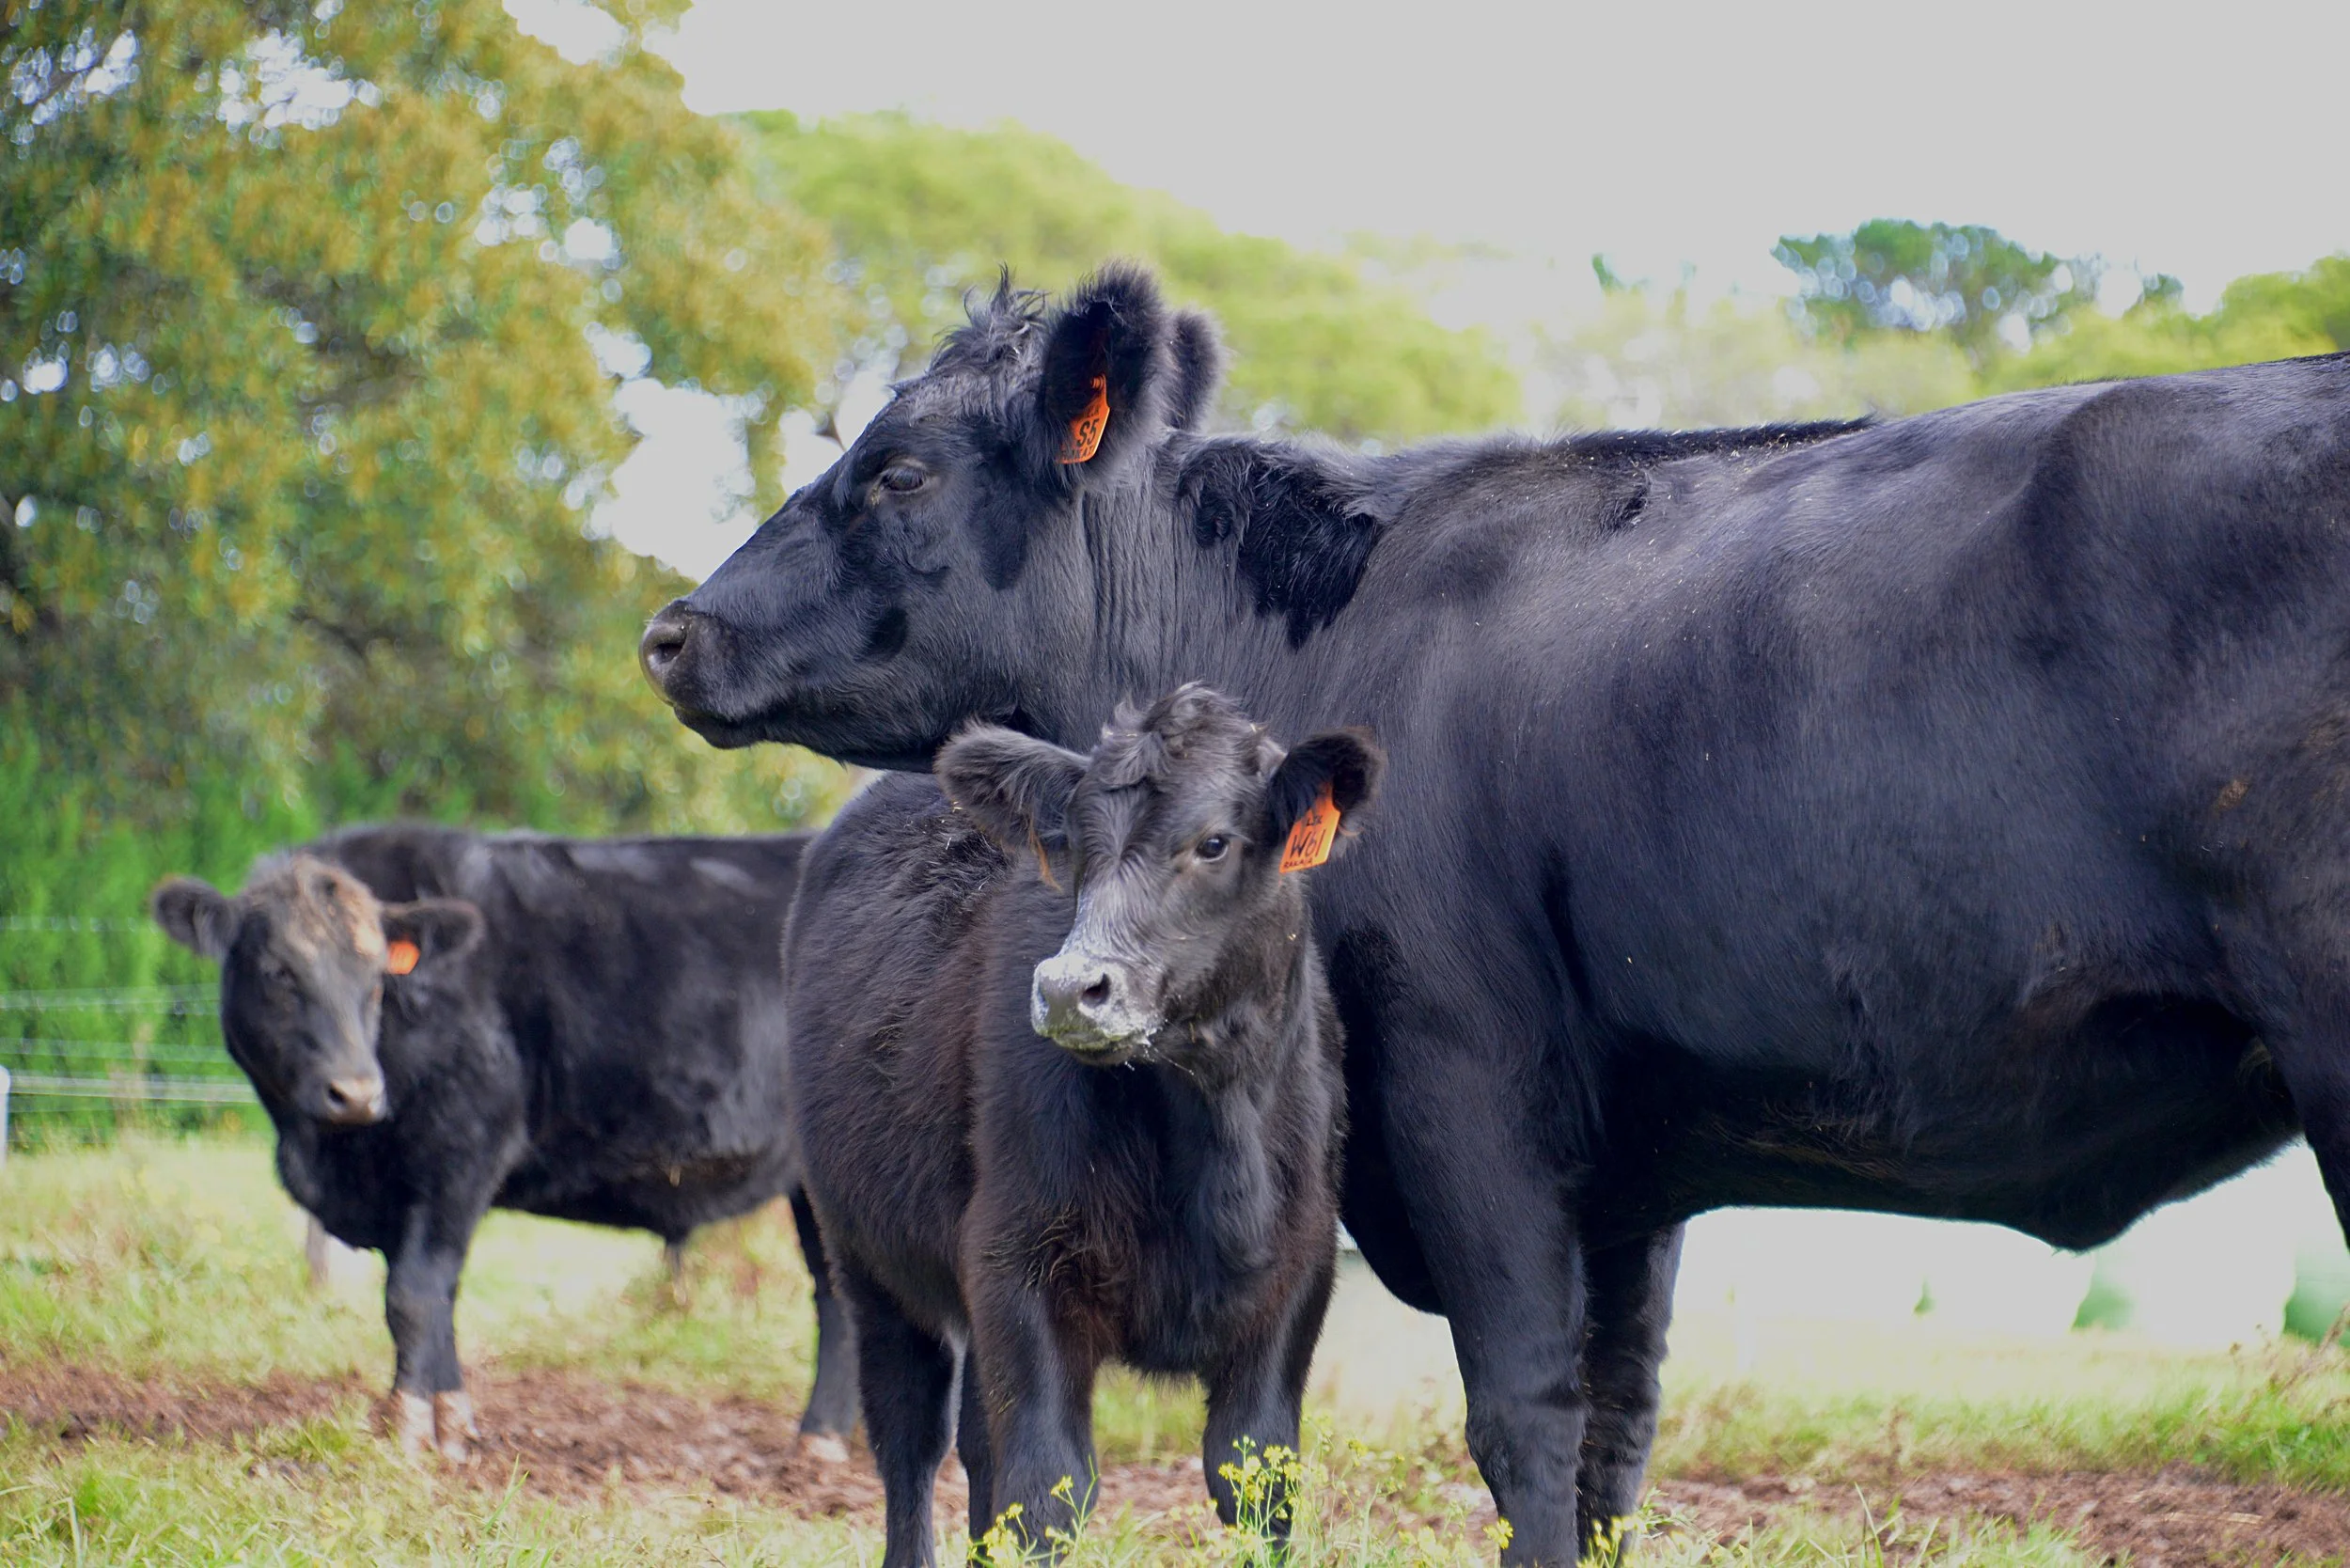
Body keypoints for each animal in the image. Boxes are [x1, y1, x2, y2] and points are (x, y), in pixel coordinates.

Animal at [151, 826, 858, 1463]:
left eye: (376, 980)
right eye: (278, 973)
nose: (357, 1093)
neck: (326, 1155)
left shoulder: (463, 1147)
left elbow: (412, 1295)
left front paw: (409, 1429)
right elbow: (438, 1298)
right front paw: (452, 1422)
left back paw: (825, 1439)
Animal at [785, 686, 1377, 1566]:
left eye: (1213, 842)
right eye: (1075, 849)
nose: (1071, 989)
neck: (1216, 1138)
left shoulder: (1296, 1279)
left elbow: (1255, 1485)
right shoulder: (1019, 1263)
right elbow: (1048, 1489)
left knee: (976, 1443)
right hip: (867, 1251)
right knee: (911, 1434)